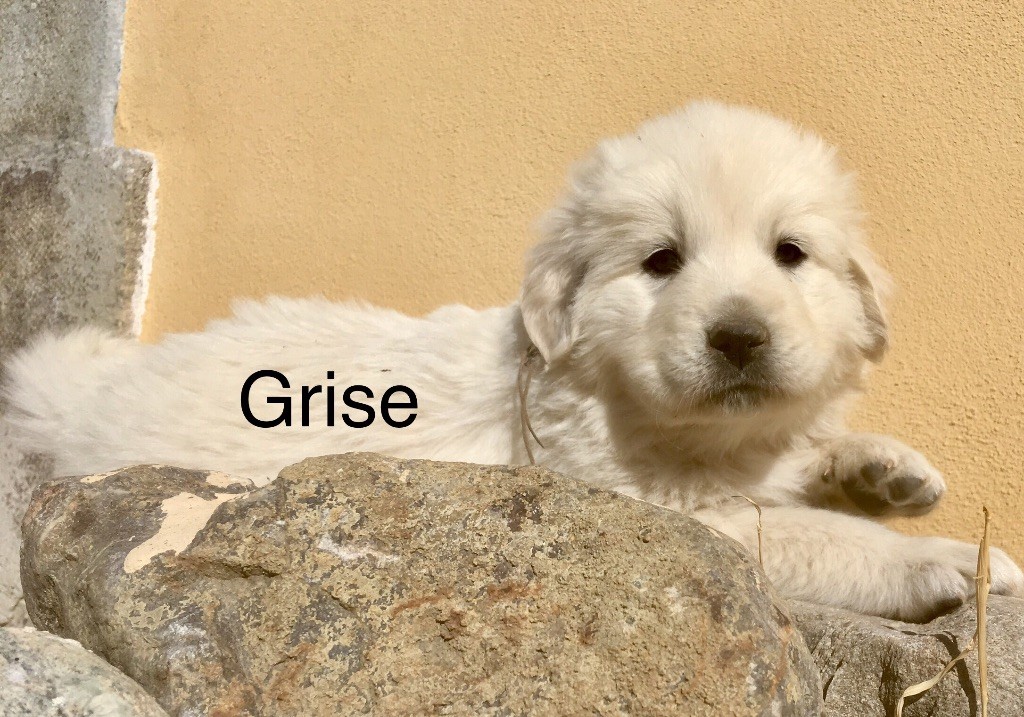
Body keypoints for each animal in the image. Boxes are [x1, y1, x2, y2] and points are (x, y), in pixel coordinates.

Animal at [6, 100, 1021, 622]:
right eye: (661, 261)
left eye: (791, 253)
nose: (738, 337)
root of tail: (86, 392)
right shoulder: (660, 511)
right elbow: (804, 533)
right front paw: (947, 560)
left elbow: (796, 464)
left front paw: (884, 469)